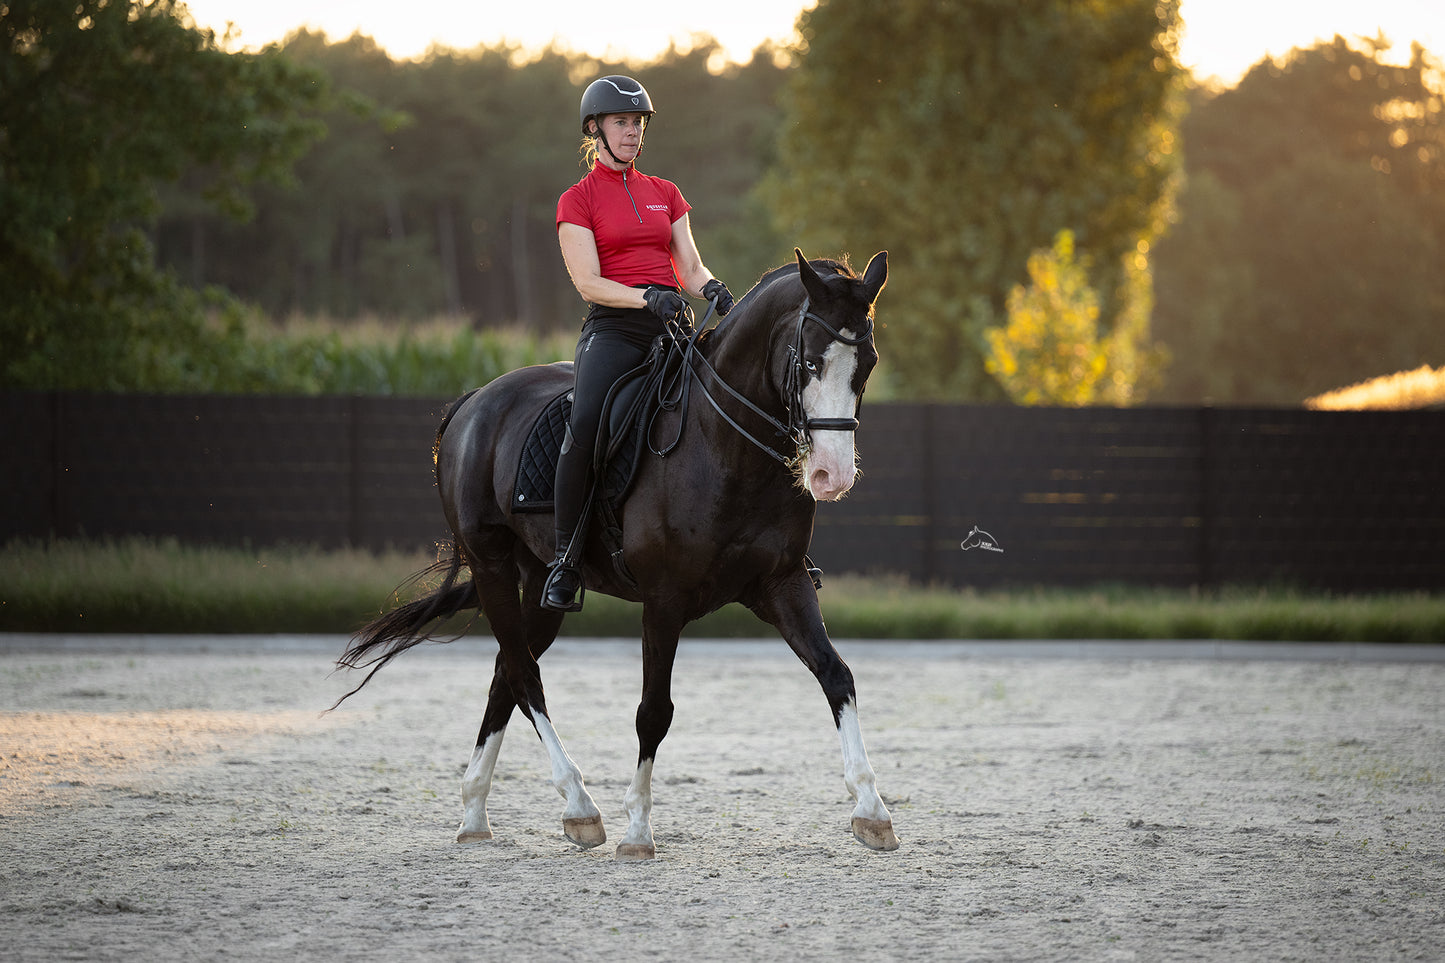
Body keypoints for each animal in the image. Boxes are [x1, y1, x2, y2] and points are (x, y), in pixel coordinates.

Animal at [342, 245, 895, 856]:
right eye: (810, 363)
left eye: (866, 364)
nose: (831, 475)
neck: (723, 447)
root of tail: (474, 403)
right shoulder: (664, 599)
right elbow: (654, 712)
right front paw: (637, 830)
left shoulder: (782, 584)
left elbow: (836, 675)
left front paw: (872, 810)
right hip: (491, 566)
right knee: (524, 675)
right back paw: (579, 805)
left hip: (539, 585)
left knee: (506, 672)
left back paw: (476, 814)